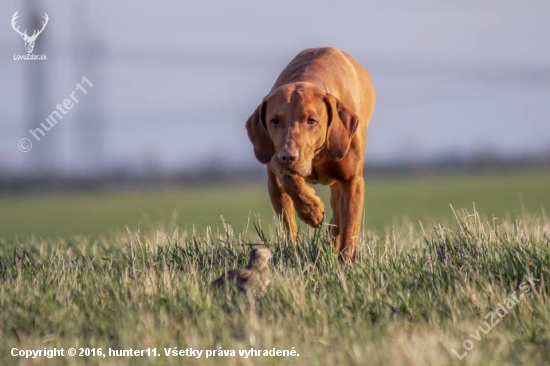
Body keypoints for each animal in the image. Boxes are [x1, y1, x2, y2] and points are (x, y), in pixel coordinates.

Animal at [248, 48, 378, 260]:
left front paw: (346, 261)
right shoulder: (276, 164)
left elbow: (350, 226)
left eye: (312, 120)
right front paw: (312, 211)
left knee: (338, 215)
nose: (287, 156)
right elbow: (291, 181)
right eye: (274, 121)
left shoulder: (352, 180)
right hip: (275, 187)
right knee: (289, 225)